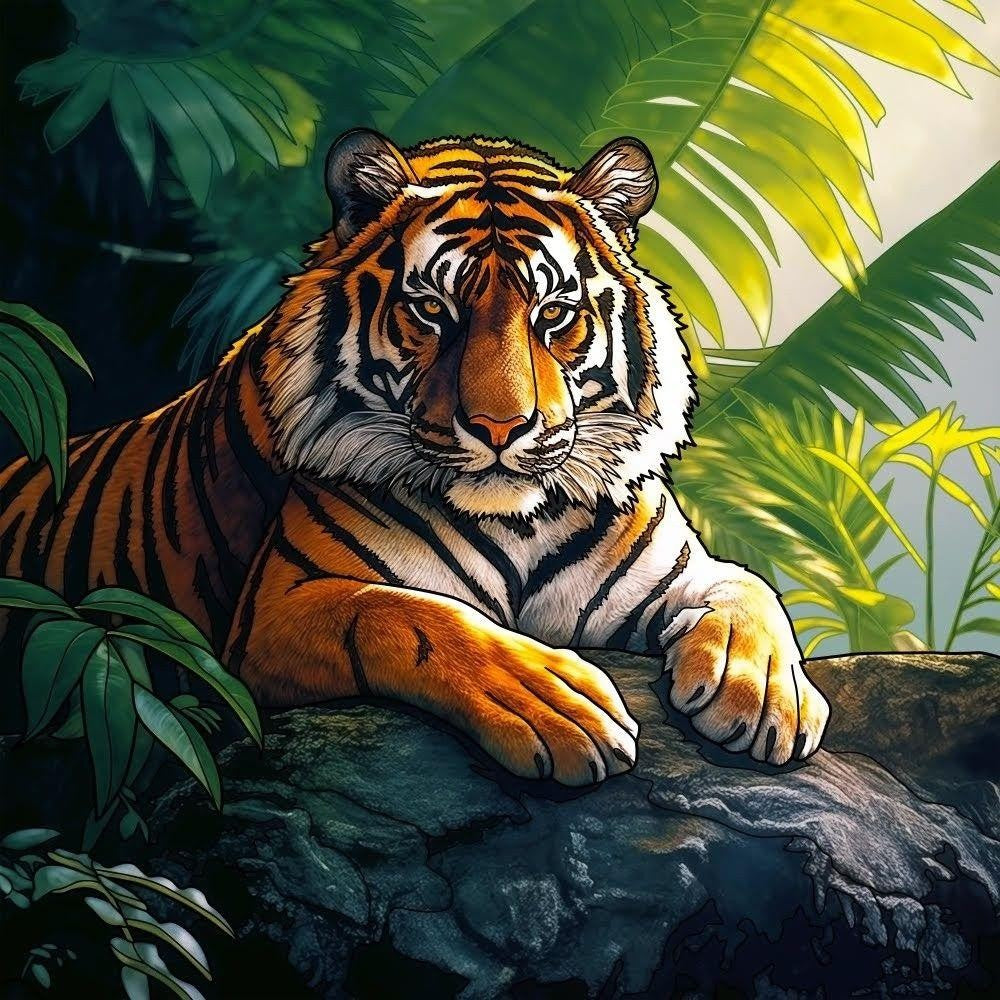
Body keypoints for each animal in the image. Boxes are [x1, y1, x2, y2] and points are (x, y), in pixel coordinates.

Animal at [0, 129, 830, 783]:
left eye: (553, 313)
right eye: (433, 310)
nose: (500, 427)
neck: (522, 524)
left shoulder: (678, 571)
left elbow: (751, 589)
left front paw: (762, 694)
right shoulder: (274, 612)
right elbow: (413, 617)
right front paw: (554, 705)